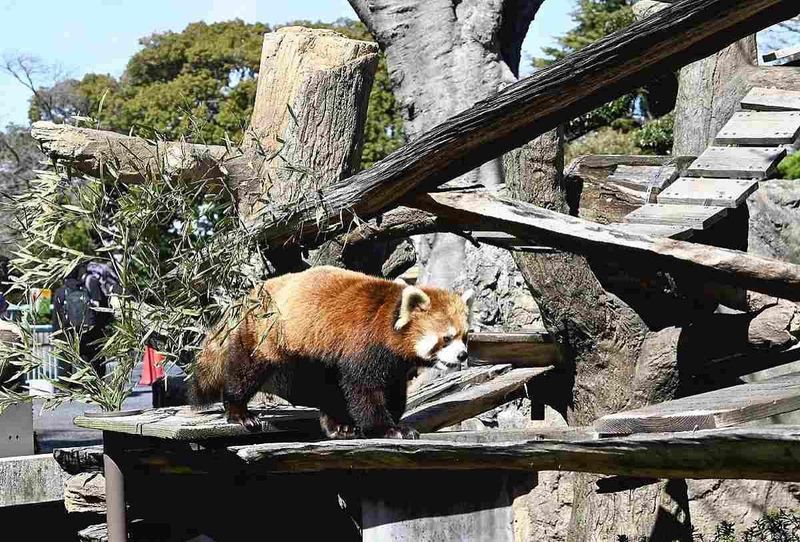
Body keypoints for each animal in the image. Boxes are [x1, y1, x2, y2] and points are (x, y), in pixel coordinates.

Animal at [191, 268, 472, 442]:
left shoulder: (394, 365)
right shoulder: (363, 345)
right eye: (446, 338)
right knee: (246, 371)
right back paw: (240, 412)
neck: (387, 316)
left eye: (465, 337)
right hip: (268, 336)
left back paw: (337, 425)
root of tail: (251, 295)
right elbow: (364, 390)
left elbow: (392, 390)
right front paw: (388, 429)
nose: (462, 355)